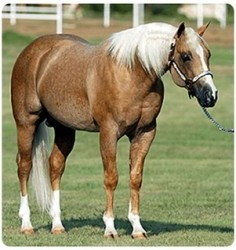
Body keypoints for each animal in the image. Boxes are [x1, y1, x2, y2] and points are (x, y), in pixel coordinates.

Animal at [11, 22, 218, 238]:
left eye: (208, 54)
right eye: (186, 56)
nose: (210, 96)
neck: (131, 74)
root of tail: (33, 51)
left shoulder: (144, 133)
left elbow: (135, 178)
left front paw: (137, 228)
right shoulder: (108, 133)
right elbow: (111, 178)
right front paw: (110, 228)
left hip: (64, 128)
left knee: (56, 166)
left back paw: (57, 225)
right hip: (26, 123)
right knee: (24, 166)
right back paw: (26, 224)